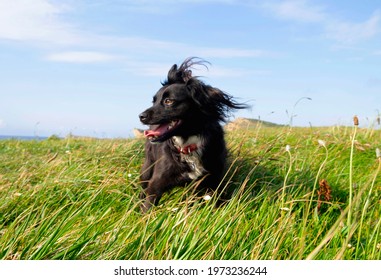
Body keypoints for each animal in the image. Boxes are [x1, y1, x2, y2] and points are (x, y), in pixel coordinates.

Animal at [137, 57, 246, 212]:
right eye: (154, 101)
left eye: (168, 101)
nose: (141, 116)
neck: (187, 143)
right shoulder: (156, 184)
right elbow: (147, 207)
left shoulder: (214, 181)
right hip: (148, 167)